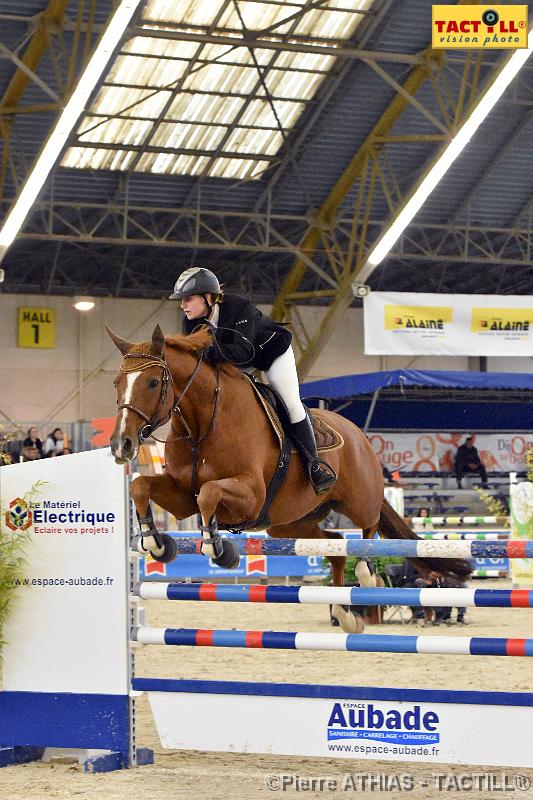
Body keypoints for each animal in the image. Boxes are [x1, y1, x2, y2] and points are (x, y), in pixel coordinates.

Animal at [107, 324, 470, 632]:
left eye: (153, 382)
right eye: (117, 384)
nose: (121, 444)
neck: (202, 424)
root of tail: (358, 433)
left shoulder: (250, 495)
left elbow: (209, 493)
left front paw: (219, 549)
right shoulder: (184, 497)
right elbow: (141, 486)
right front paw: (156, 542)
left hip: (358, 499)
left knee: (367, 531)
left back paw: (367, 578)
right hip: (289, 522)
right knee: (335, 544)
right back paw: (344, 614)